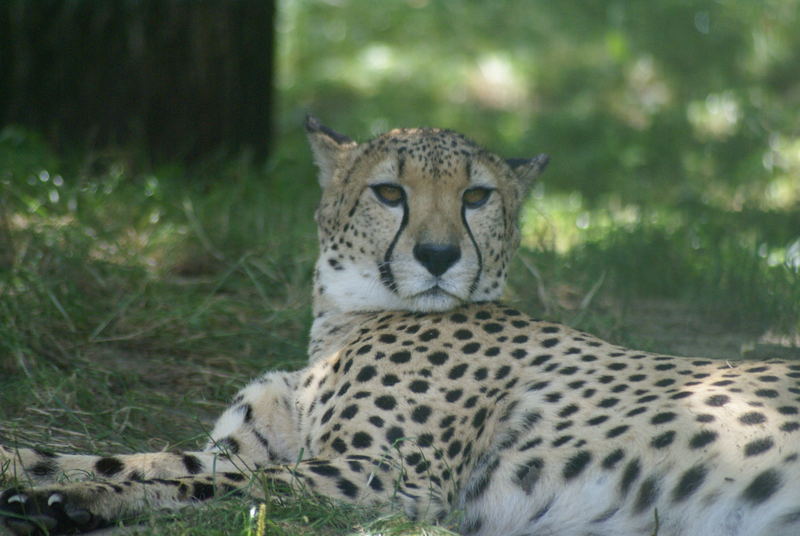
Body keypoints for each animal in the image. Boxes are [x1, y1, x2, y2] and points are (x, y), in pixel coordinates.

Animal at [1, 118, 800, 536]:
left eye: (477, 196)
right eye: (389, 192)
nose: (439, 256)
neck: (345, 321)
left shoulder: (389, 483)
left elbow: (203, 479)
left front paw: (73, 499)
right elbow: (142, 457)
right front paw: (28, 467)